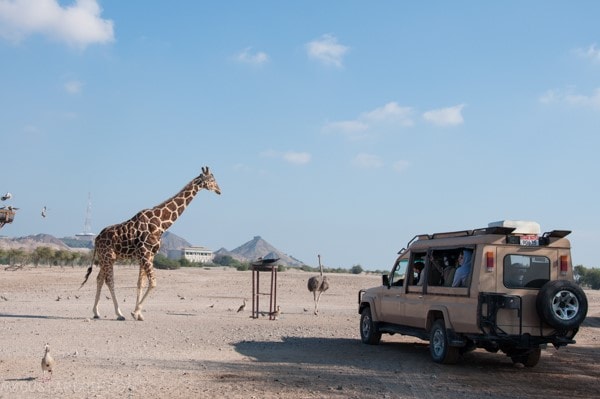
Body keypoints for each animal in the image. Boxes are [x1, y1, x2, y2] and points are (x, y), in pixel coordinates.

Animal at [79, 166, 220, 322]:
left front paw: (139, 314)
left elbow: (141, 283)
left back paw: (96, 312)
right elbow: (153, 282)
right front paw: (135, 312)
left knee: (99, 279)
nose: (219, 190)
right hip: (108, 257)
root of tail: (97, 239)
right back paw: (119, 313)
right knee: (109, 281)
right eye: (212, 179)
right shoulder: (145, 253)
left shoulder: (149, 255)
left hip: (107, 258)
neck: (162, 223)